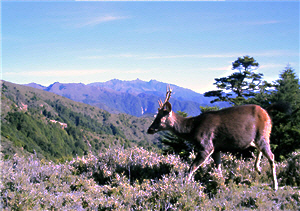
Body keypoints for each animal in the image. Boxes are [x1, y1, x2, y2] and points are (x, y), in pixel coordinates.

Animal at [148, 85, 278, 190]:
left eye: (160, 118)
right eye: (156, 116)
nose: (149, 129)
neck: (192, 129)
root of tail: (267, 113)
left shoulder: (206, 145)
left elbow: (191, 168)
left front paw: (184, 185)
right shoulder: (216, 148)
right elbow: (218, 168)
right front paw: (221, 185)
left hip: (263, 133)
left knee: (271, 156)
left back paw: (275, 185)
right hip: (257, 138)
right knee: (261, 150)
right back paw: (258, 168)